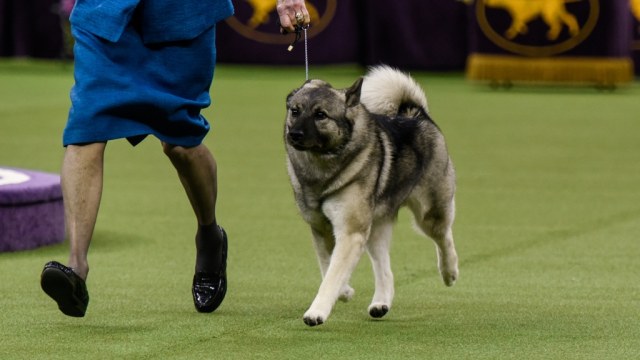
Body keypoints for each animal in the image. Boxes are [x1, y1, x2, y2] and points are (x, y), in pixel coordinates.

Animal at [282, 64, 458, 326]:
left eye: (321, 115)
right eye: (295, 111)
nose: (294, 134)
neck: (323, 167)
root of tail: (417, 114)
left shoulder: (350, 232)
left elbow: (332, 275)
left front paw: (317, 311)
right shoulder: (321, 228)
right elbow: (327, 266)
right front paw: (344, 291)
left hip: (428, 213)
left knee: (444, 236)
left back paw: (449, 272)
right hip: (376, 229)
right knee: (385, 269)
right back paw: (380, 303)